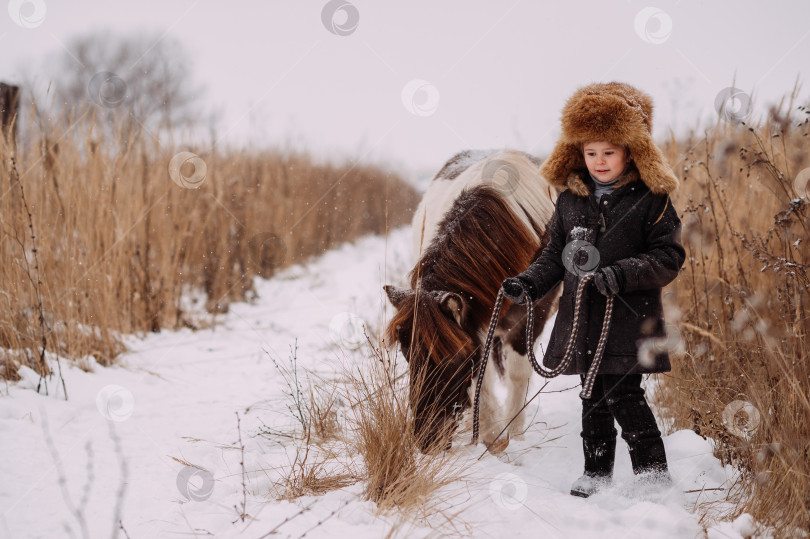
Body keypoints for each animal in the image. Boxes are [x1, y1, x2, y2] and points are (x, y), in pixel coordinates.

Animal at [386, 150, 560, 454]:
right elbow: (483, 376)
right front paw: (491, 436)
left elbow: (517, 374)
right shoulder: (478, 323)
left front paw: (514, 435)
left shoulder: (532, 317)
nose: (426, 440)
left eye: (454, 361)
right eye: (408, 356)